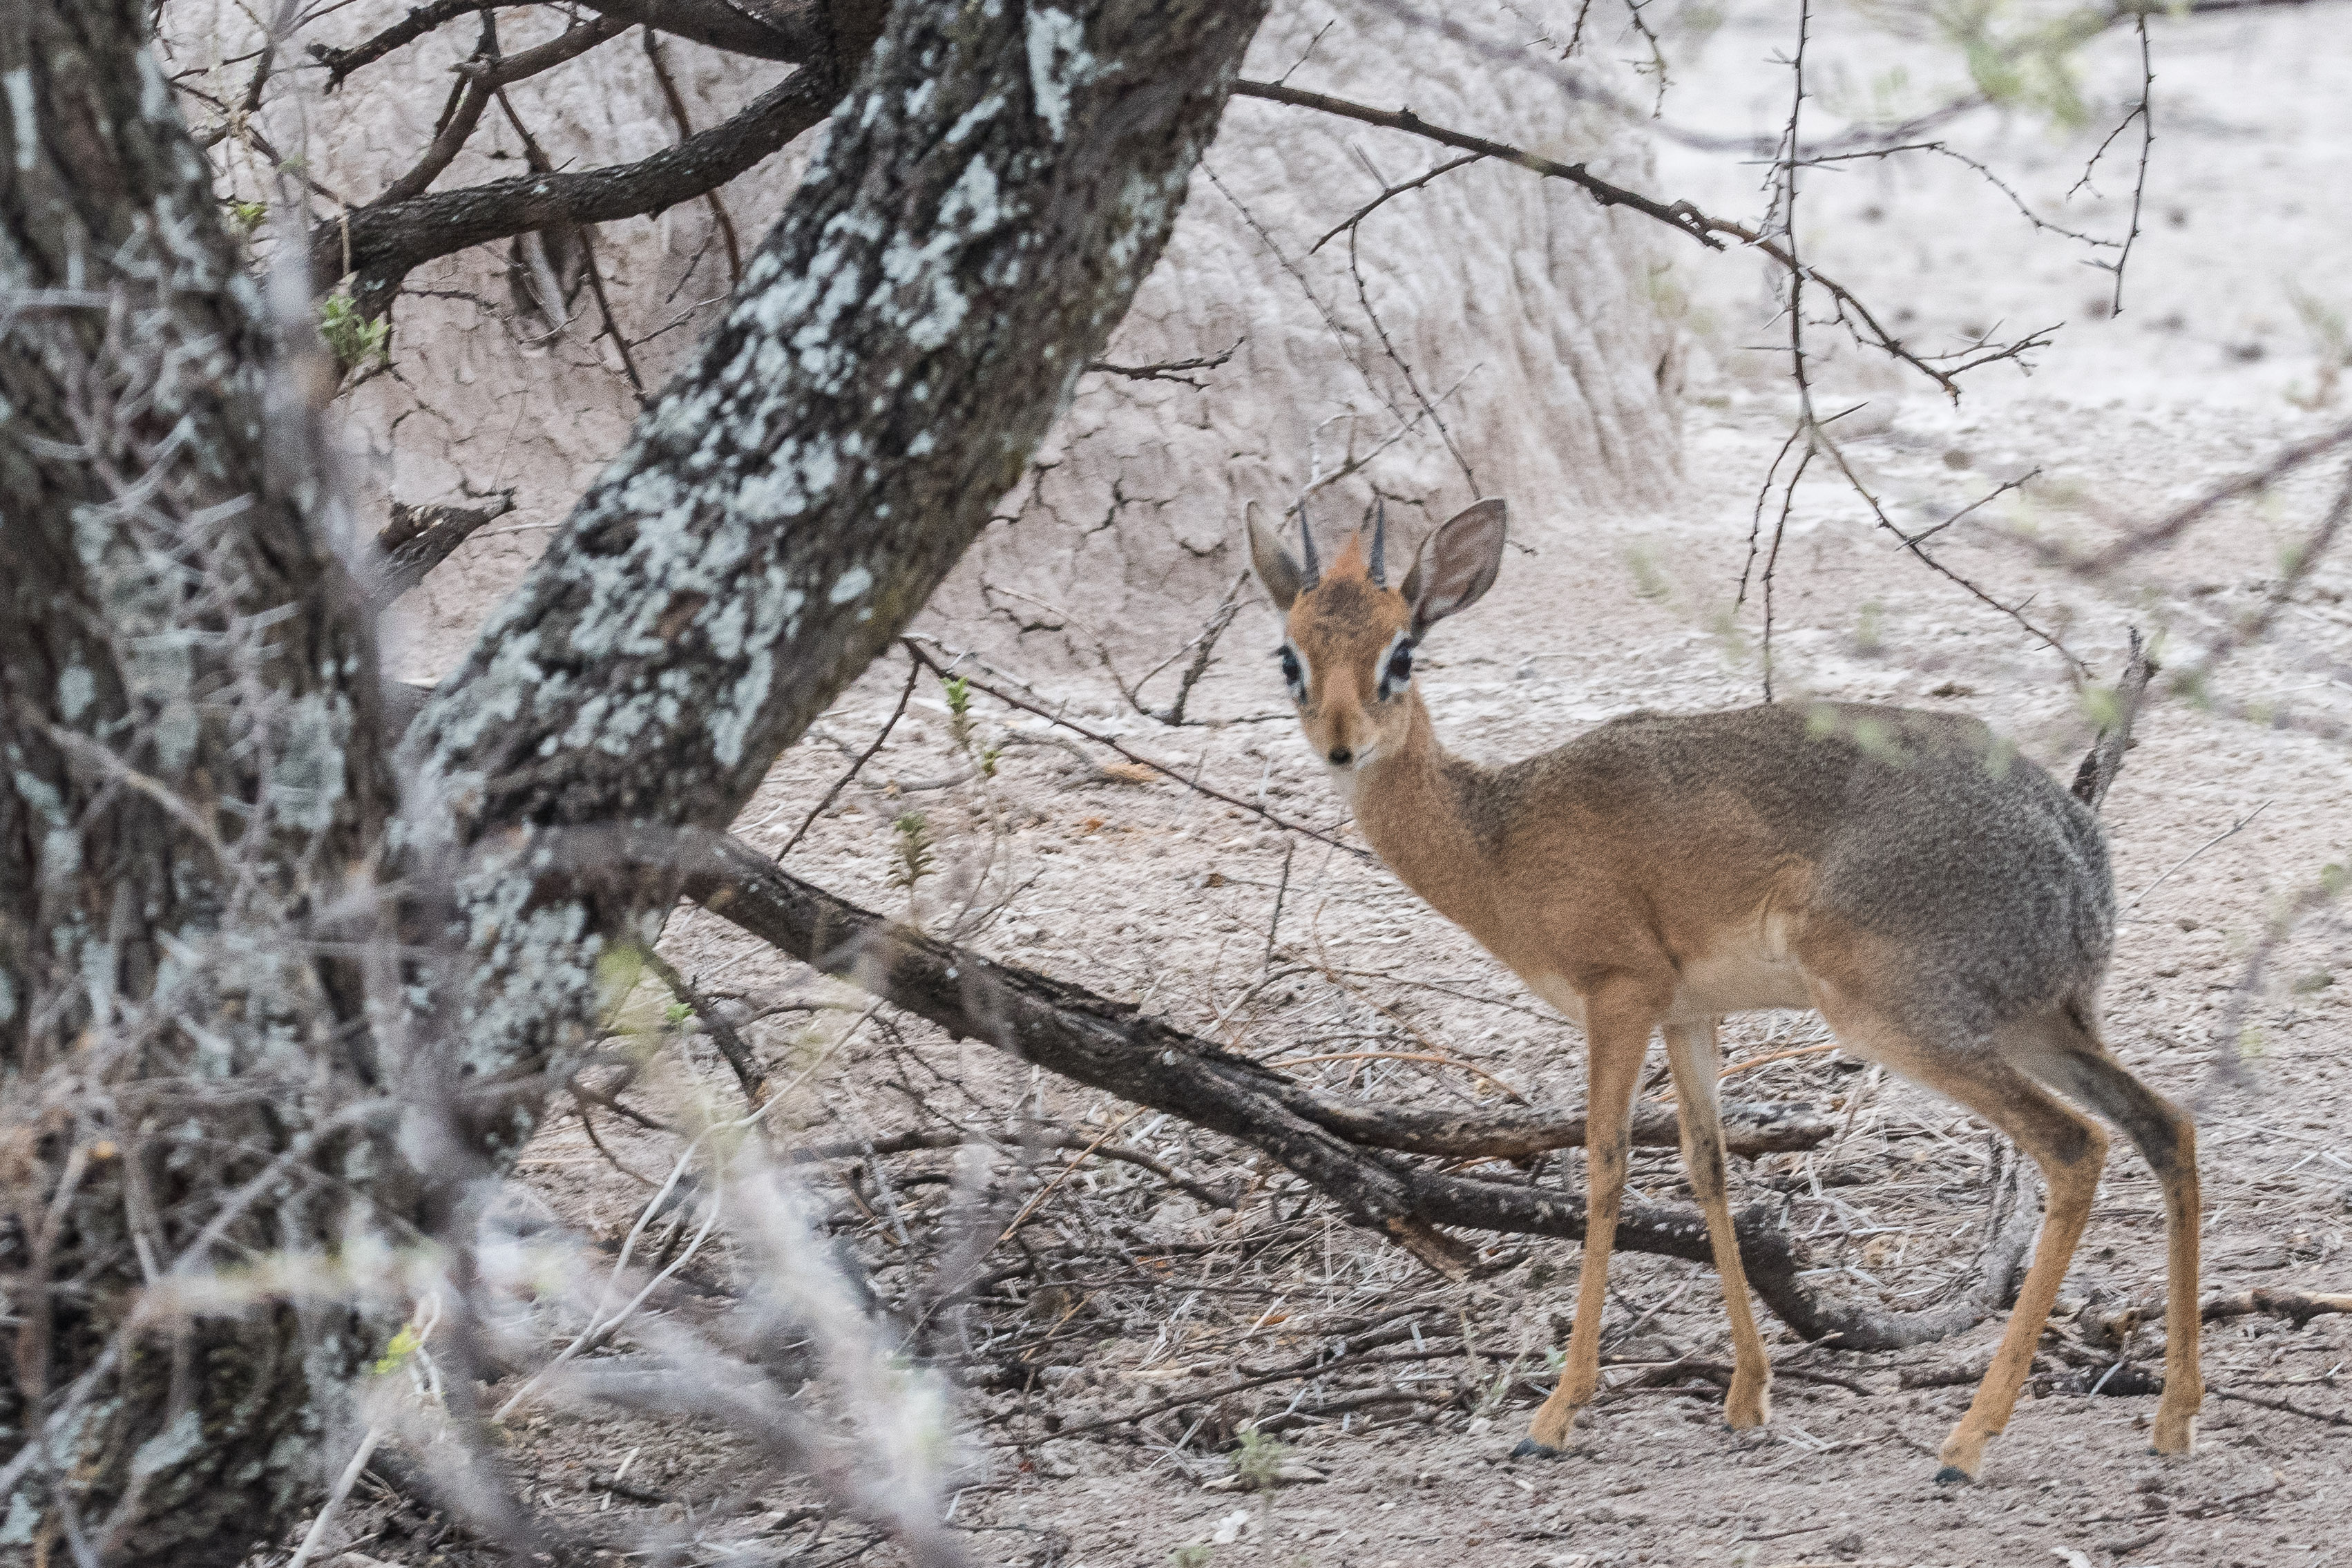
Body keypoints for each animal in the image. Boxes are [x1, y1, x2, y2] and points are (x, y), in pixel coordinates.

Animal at [1251, 500, 2201, 1485]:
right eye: (1290, 655)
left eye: (1401, 653)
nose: (1342, 744)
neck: (1497, 836)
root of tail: (2072, 841)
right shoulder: (1689, 1016)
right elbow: (1708, 1168)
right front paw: (1748, 1393)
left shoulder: (1618, 995)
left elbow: (1605, 1167)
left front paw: (1556, 1411)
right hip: (2039, 1024)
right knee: (2165, 1124)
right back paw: (2172, 1416)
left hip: (1903, 1020)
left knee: (2075, 1145)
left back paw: (1969, 1439)